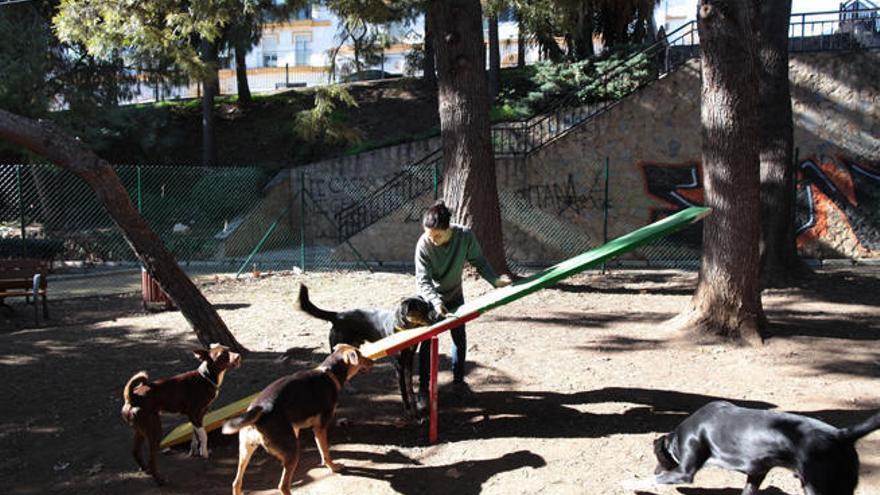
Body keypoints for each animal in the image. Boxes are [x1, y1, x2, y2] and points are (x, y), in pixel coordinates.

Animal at [121, 344, 241, 484]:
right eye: (222, 355)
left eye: (229, 349)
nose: (238, 356)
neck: (205, 377)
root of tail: (133, 396)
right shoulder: (194, 413)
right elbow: (203, 434)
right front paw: (204, 452)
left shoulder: (199, 415)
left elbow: (195, 434)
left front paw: (195, 451)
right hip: (155, 430)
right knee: (151, 459)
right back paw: (160, 480)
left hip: (140, 430)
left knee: (135, 451)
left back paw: (146, 470)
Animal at [222, 342, 372, 495]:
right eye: (360, 355)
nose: (372, 361)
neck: (330, 374)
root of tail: (259, 409)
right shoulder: (320, 428)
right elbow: (325, 452)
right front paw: (333, 467)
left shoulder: (296, 428)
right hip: (291, 451)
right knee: (283, 485)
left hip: (246, 450)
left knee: (236, 482)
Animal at [298, 284, 438, 420]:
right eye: (423, 310)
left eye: (429, 307)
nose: (435, 320)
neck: (403, 327)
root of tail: (337, 315)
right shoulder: (398, 364)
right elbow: (403, 390)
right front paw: (409, 411)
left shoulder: (409, 359)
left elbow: (410, 387)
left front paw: (415, 409)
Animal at [640, 404, 880, 495]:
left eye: (658, 459)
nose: (654, 469)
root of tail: (841, 434)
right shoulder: (757, 471)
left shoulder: (684, 472)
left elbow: (651, 480)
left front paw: (636, 482)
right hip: (841, 485)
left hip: (816, 487)